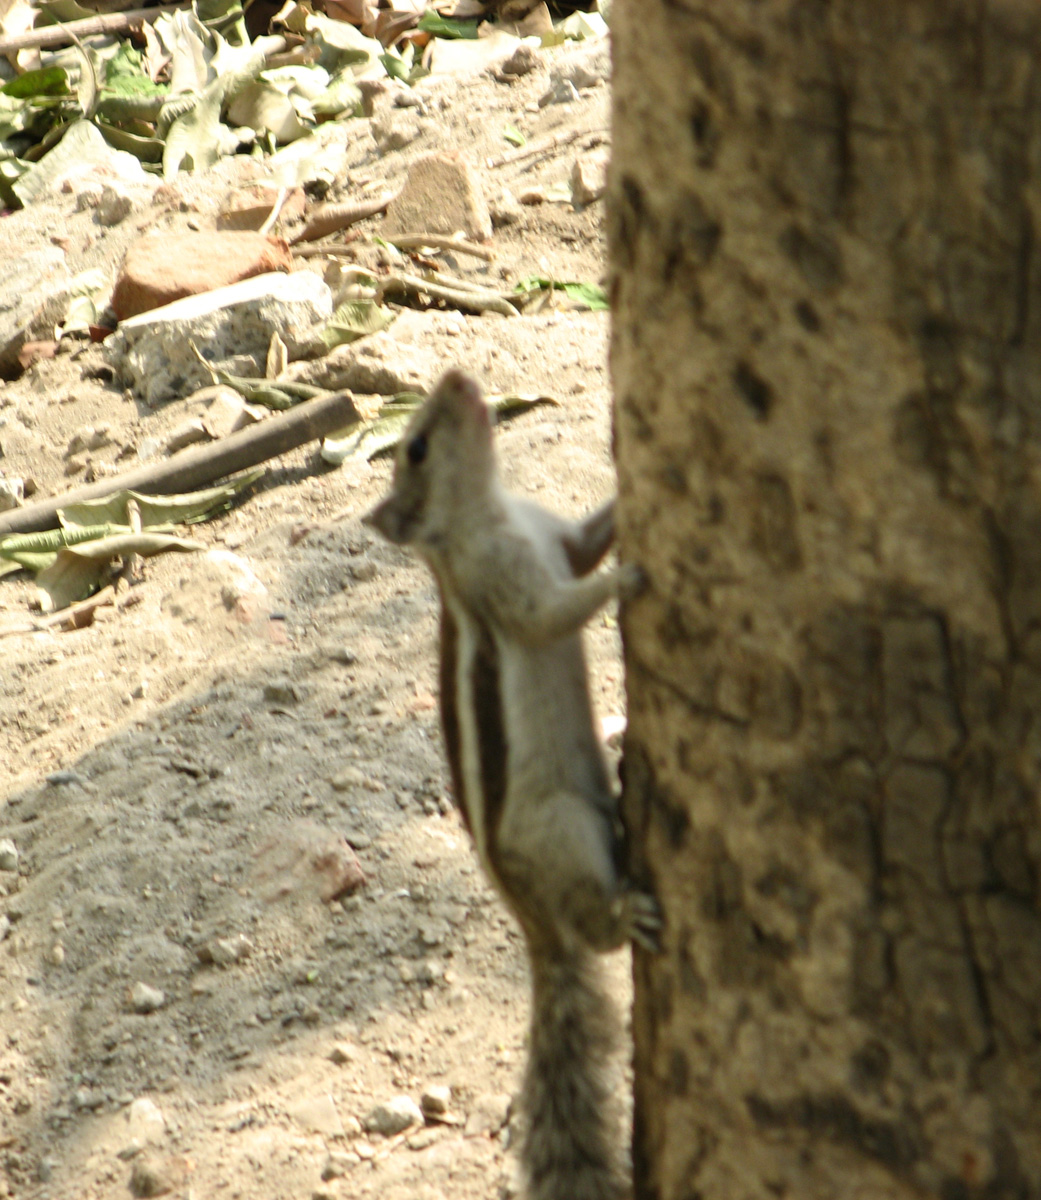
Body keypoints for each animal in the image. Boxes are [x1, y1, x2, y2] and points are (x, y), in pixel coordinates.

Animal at [364, 369, 660, 1200]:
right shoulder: (509, 587)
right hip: (559, 827)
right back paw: (623, 915)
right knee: (593, 926)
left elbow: (586, 543)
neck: (494, 509)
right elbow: (555, 611)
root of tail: (530, 925)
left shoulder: (555, 536)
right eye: (415, 446)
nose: (459, 377)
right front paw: (627, 577)